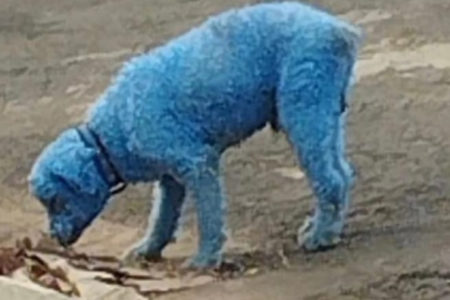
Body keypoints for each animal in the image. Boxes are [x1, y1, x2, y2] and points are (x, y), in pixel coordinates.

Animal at [29, 1, 362, 270]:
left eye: (55, 201)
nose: (55, 238)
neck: (108, 136)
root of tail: (340, 30)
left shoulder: (198, 163)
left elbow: (208, 215)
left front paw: (204, 260)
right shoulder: (170, 178)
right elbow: (162, 216)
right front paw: (147, 249)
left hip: (304, 107)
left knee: (330, 179)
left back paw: (321, 236)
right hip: (325, 116)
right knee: (342, 173)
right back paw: (326, 228)